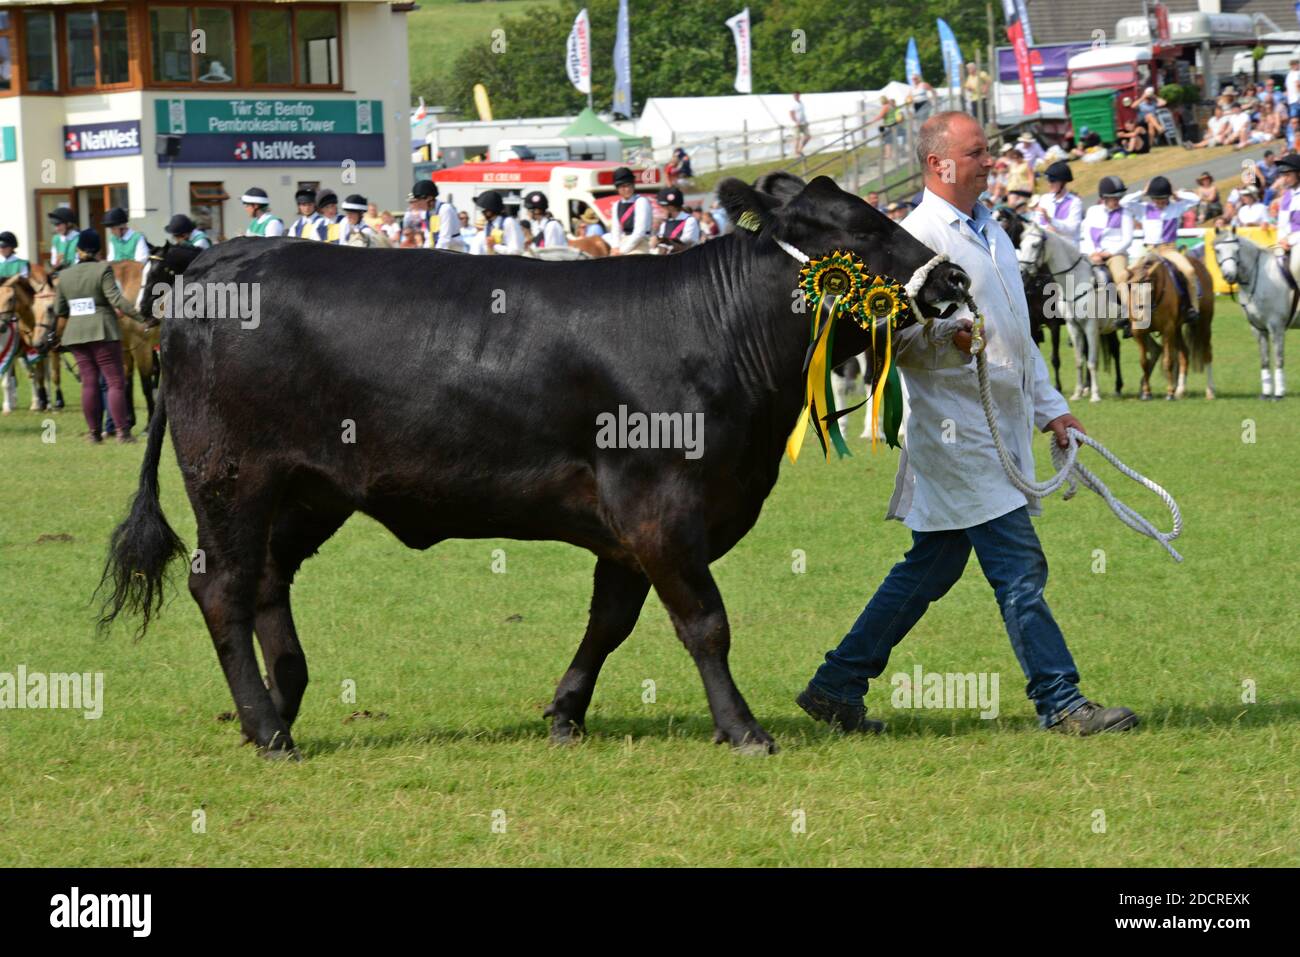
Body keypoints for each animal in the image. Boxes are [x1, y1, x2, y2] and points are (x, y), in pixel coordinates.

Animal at [101, 171, 972, 754]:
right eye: (855, 230)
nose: (955, 277)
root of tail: (210, 261)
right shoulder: (661, 508)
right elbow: (706, 622)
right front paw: (743, 726)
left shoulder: (630, 526)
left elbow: (610, 621)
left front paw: (565, 712)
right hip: (229, 474)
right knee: (222, 587)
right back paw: (267, 726)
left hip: (311, 488)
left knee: (268, 580)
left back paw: (283, 702)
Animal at [1128, 250, 1216, 400]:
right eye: (1131, 288)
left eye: (1151, 289)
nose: (1141, 317)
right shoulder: (1139, 333)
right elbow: (1144, 362)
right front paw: (1146, 393)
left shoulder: (1167, 330)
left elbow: (1168, 361)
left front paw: (1169, 393)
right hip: (1177, 329)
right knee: (1184, 354)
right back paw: (1180, 390)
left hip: (1204, 324)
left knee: (1207, 353)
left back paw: (1209, 390)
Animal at [1211, 227, 1294, 400]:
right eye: (1217, 250)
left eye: (1237, 250)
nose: (1229, 275)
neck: (1259, 277)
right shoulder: (1259, 328)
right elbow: (1264, 360)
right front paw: (1266, 393)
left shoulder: (1276, 327)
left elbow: (1278, 359)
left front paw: (1279, 394)